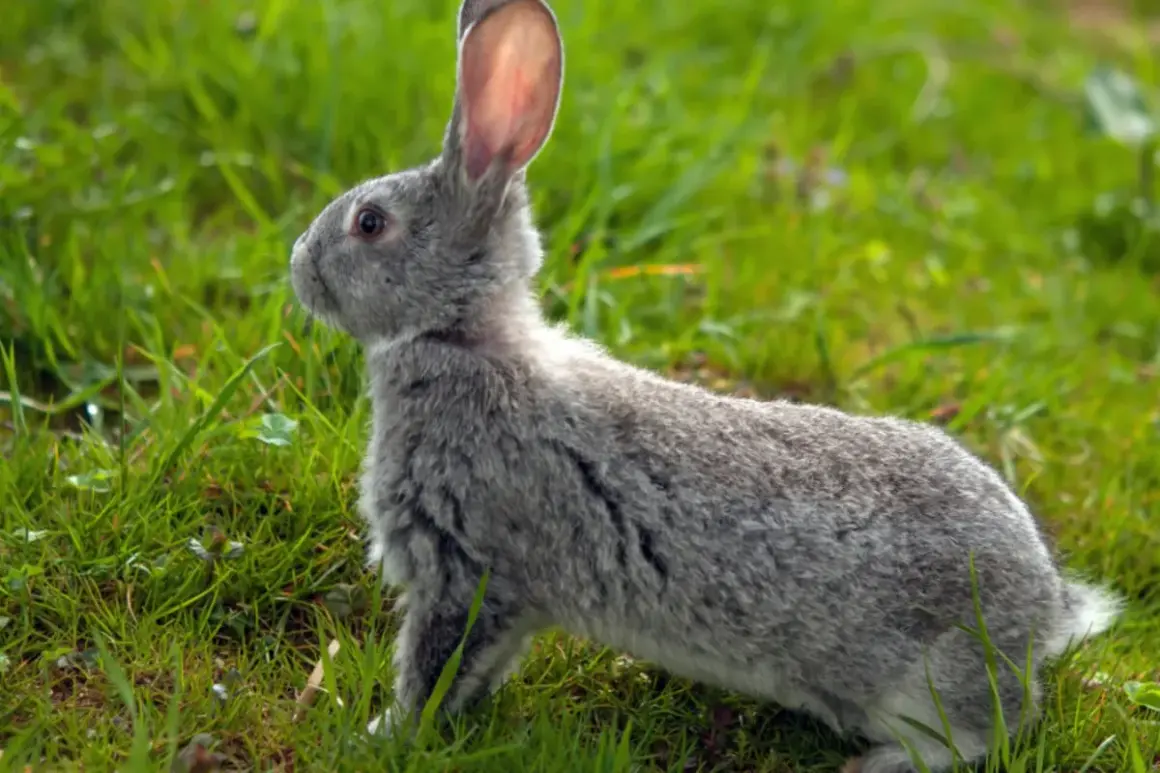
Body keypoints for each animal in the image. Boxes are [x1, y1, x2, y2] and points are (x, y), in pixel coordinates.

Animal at [287, 1, 1122, 771]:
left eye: (369, 223)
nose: (298, 265)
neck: (464, 338)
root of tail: (1043, 610)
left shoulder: (467, 564)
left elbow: (438, 670)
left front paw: (382, 735)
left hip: (923, 681)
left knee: (979, 736)